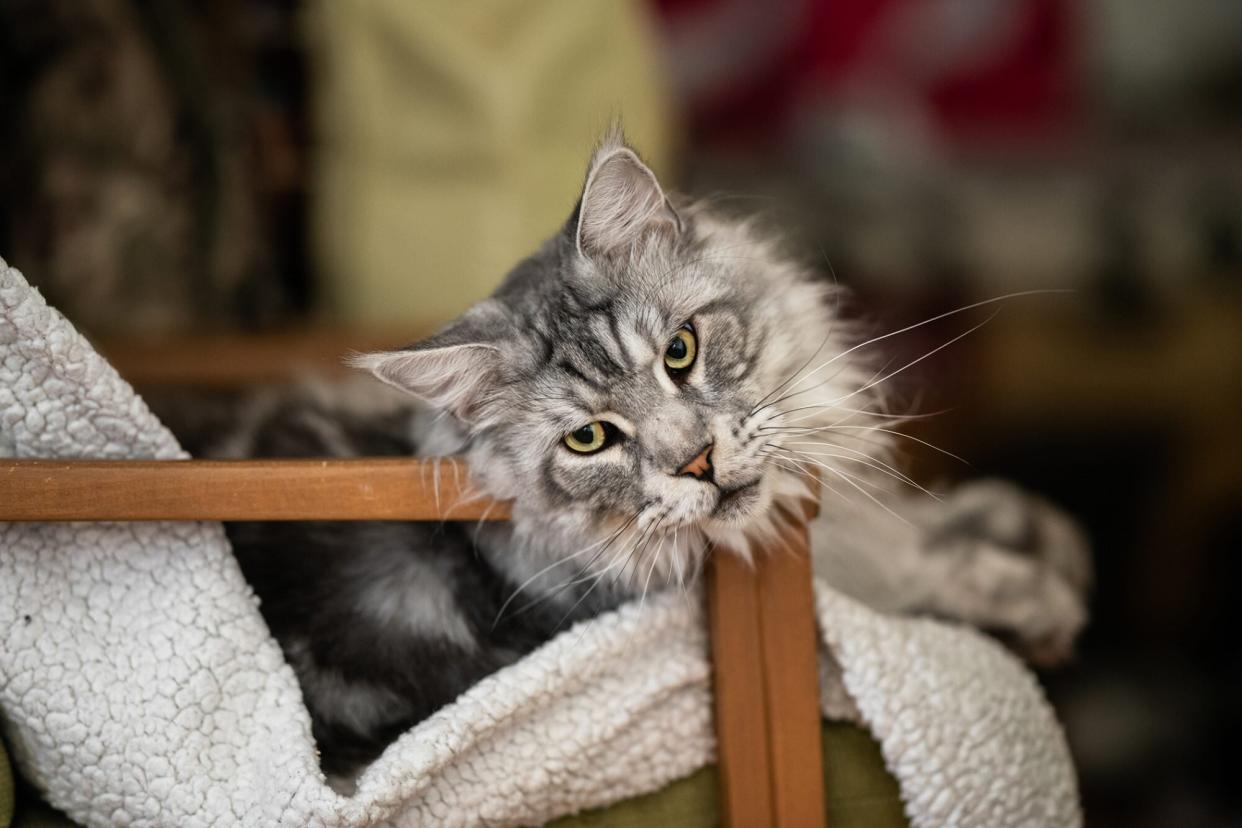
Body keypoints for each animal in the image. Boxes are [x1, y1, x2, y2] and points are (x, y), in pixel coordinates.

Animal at [180, 129, 1092, 779]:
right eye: (590, 439)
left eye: (680, 351)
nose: (696, 463)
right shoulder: (826, 574)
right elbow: (918, 574)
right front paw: (1037, 601)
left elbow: (929, 522)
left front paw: (1040, 534)